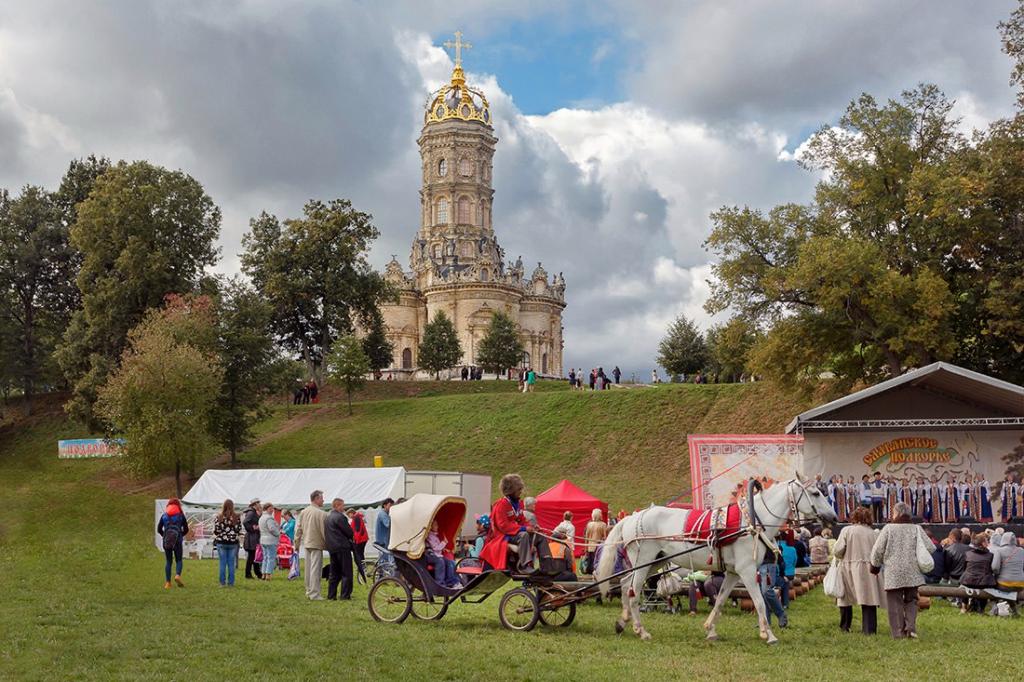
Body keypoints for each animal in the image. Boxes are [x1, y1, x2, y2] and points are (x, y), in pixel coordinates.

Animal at [598, 475, 835, 638]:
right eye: (815, 493)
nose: (833, 516)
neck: (752, 520)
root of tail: (632, 517)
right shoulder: (747, 571)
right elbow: (759, 601)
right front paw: (768, 634)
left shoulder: (733, 573)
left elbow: (720, 599)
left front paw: (710, 629)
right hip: (644, 562)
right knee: (633, 592)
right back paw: (641, 630)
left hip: (654, 563)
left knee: (625, 584)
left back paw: (622, 622)